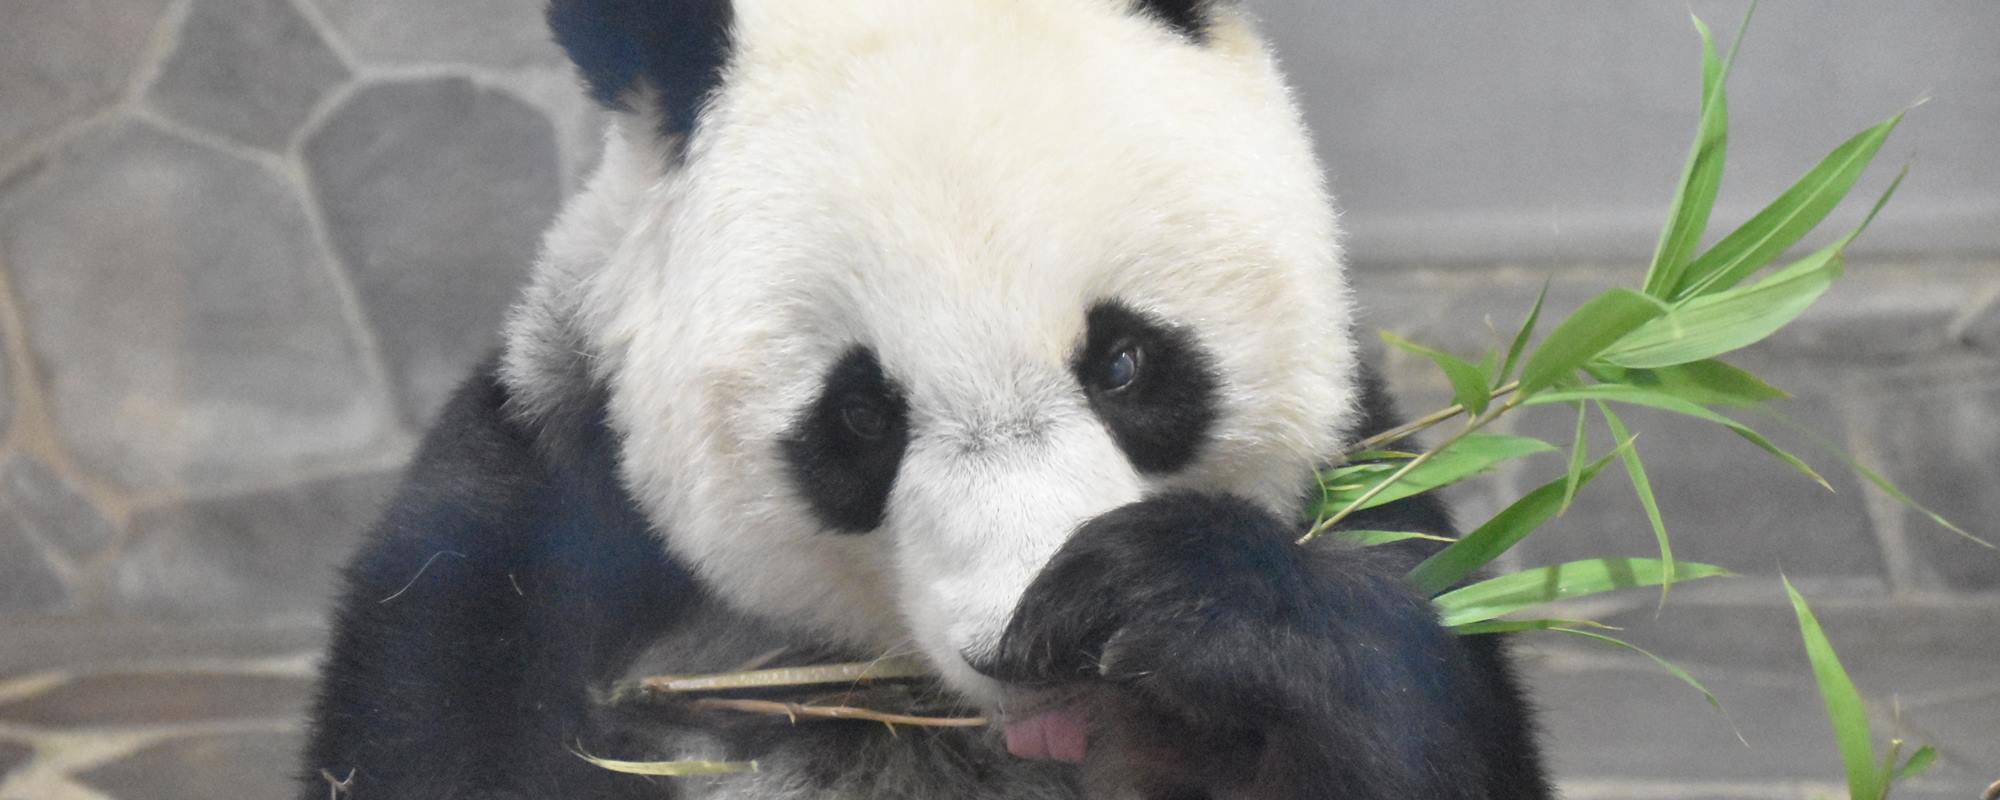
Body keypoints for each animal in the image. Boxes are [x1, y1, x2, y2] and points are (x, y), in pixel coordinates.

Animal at [296, 1, 1544, 800]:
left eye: (1122, 363)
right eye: (859, 416)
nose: (1032, 643)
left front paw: (1186, 602)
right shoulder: (520, 549)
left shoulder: (1370, 485)